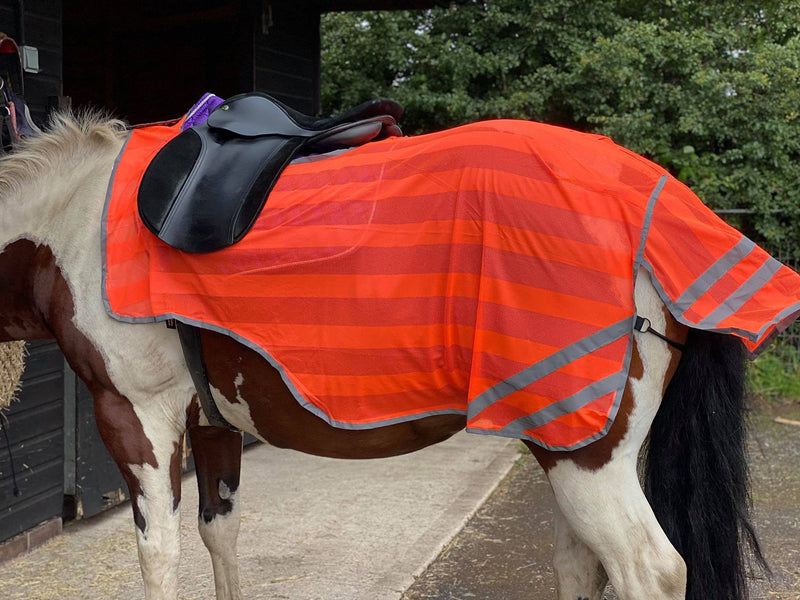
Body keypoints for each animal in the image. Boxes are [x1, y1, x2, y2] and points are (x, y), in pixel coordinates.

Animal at [0, 111, 788, 600]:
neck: (74, 222)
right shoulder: (211, 422)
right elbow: (219, 538)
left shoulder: (136, 416)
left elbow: (159, 555)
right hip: (567, 444)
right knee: (582, 564)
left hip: (586, 451)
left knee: (648, 571)